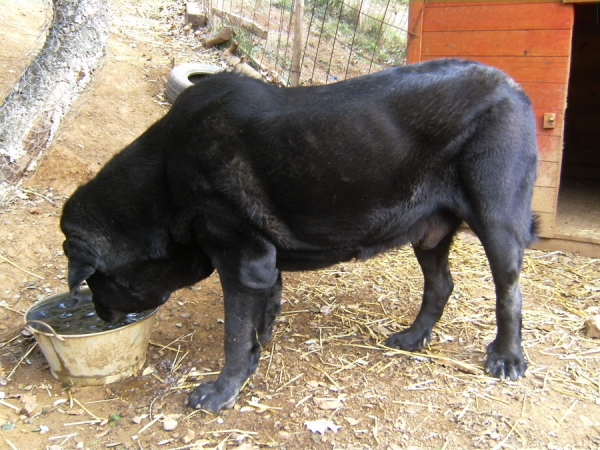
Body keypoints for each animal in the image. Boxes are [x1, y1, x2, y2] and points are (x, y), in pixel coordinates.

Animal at [61, 59, 540, 412]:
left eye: (96, 282)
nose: (99, 316)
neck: (162, 181)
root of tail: (514, 86)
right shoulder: (261, 263)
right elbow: (261, 318)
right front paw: (255, 359)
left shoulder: (239, 261)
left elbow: (234, 335)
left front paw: (221, 391)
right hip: (428, 232)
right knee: (441, 284)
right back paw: (412, 339)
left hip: (496, 220)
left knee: (510, 294)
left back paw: (508, 357)